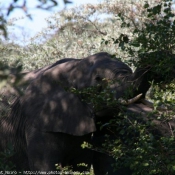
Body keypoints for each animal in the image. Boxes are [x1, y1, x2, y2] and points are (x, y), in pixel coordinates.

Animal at [0, 51, 175, 173]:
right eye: (98, 80)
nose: (155, 57)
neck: (74, 66)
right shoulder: (38, 122)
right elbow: (45, 166)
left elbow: (80, 165)